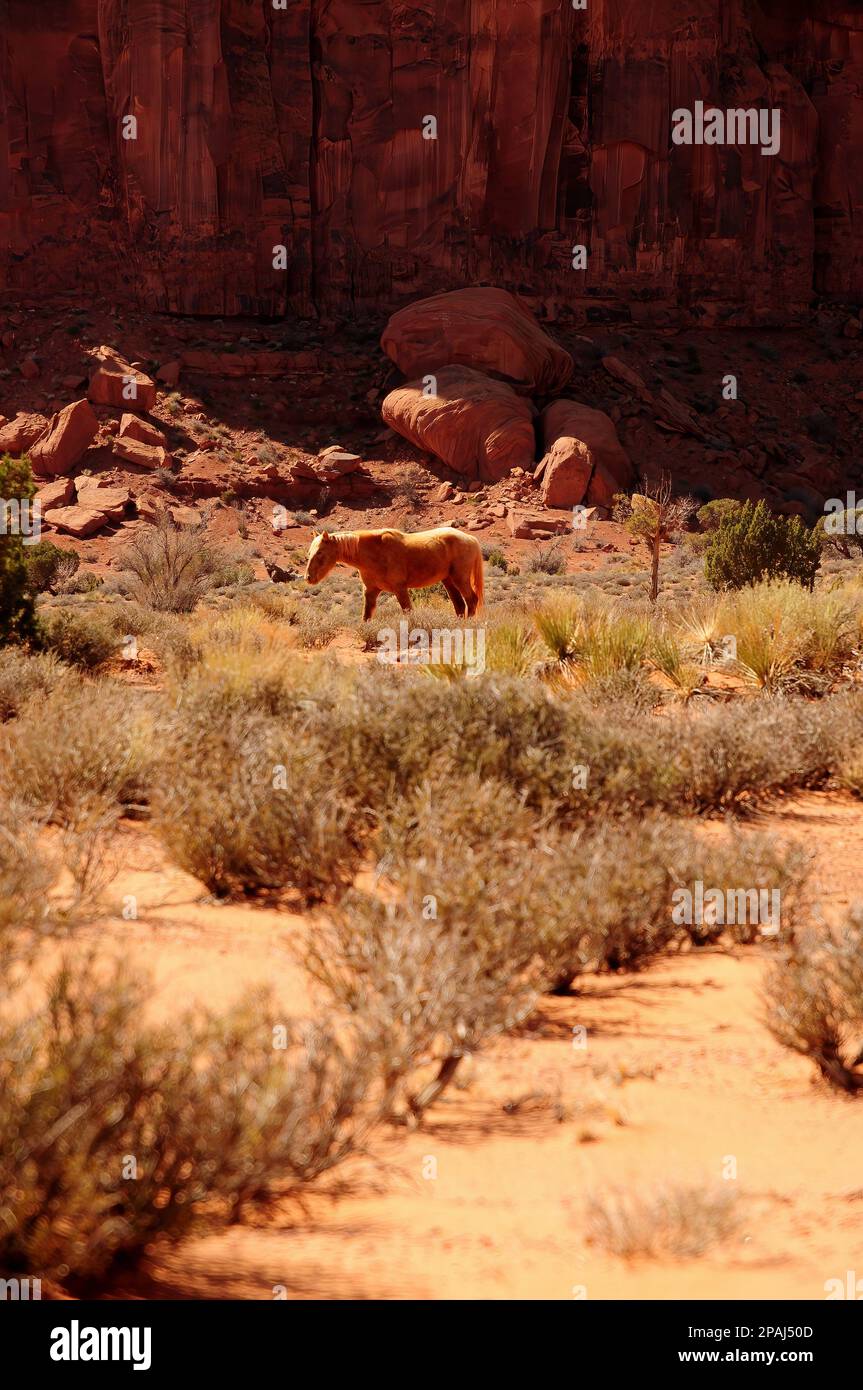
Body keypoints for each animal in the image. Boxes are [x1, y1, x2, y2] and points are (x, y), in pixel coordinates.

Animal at [305, 525, 483, 619]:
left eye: (320, 552)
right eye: (310, 551)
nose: (308, 577)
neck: (375, 553)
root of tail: (470, 539)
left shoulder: (400, 589)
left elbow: (408, 612)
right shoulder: (370, 592)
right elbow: (366, 617)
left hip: (460, 578)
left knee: (471, 600)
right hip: (448, 580)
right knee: (459, 604)